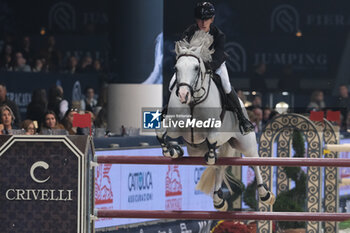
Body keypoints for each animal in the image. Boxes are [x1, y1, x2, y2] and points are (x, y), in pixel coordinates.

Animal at [157, 30, 274, 210]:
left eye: (196, 68)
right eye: (176, 68)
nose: (183, 95)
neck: (193, 102)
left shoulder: (214, 130)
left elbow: (212, 140)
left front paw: (208, 156)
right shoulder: (177, 128)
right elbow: (161, 132)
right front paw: (172, 151)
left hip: (245, 143)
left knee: (254, 160)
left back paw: (264, 193)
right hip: (197, 149)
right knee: (220, 166)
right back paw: (219, 199)